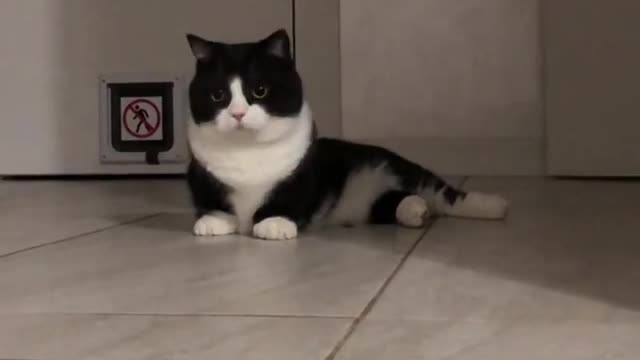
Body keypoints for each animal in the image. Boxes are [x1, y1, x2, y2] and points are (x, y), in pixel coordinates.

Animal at [185, 29, 510, 240]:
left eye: (260, 90)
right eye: (218, 95)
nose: (238, 114)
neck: (246, 150)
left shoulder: (301, 172)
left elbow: (289, 199)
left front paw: (274, 224)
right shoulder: (201, 174)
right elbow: (211, 199)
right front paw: (213, 221)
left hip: (398, 167)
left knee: (443, 193)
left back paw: (494, 206)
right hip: (374, 204)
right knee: (396, 202)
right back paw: (416, 210)